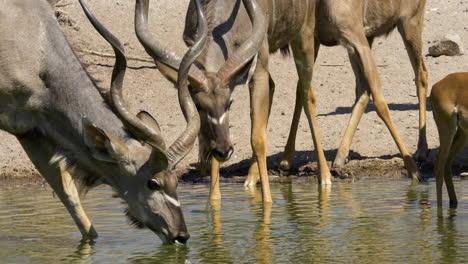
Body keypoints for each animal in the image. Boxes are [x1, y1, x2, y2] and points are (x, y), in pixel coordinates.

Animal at [136, 0, 420, 204]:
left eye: (230, 104)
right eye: (199, 106)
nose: (225, 151)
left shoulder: (259, 64)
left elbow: (258, 139)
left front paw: (268, 203)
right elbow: (210, 141)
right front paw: (214, 203)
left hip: (304, 37)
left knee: (306, 94)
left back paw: (325, 177)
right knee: (277, 91)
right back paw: (252, 178)